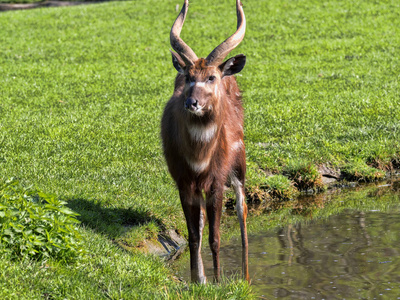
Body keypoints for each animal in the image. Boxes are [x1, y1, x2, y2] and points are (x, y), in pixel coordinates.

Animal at [161, 0, 248, 284]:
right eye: (188, 76)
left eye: (210, 77)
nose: (192, 102)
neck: (199, 157)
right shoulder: (184, 181)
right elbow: (193, 234)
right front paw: (197, 281)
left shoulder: (216, 181)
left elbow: (215, 237)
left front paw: (219, 281)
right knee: (200, 224)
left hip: (240, 164)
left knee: (242, 207)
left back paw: (246, 275)